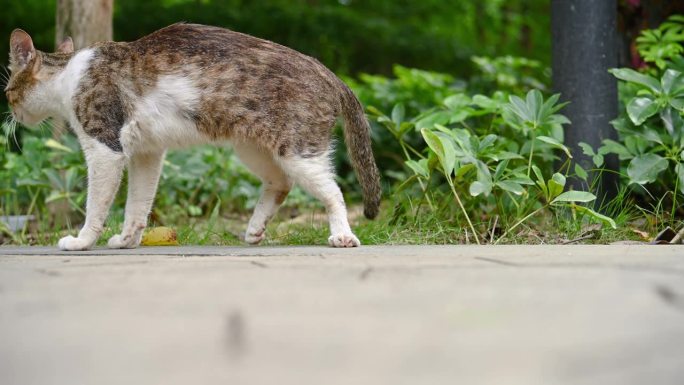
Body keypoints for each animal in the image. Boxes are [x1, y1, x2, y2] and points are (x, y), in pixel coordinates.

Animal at [4, 24, 380, 252]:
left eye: (7, 91)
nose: (11, 114)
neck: (67, 74)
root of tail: (327, 72)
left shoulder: (104, 147)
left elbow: (96, 205)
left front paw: (82, 241)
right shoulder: (147, 153)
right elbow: (138, 205)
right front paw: (127, 239)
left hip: (296, 150)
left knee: (333, 191)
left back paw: (342, 234)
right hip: (253, 147)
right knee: (280, 184)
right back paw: (255, 229)